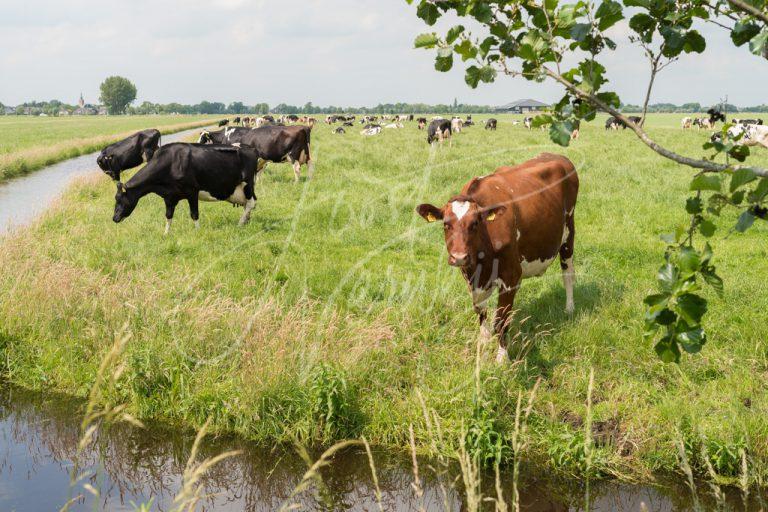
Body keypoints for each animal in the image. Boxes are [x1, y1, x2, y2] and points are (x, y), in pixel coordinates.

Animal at [111, 142, 260, 234]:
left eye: (120, 200)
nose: (114, 218)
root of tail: (251, 148)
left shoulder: (192, 191)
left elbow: (194, 214)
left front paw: (197, 232)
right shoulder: (169, 197)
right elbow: (168, 215)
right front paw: (166, 234)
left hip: (247, 184)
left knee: (251, 203)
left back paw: (240, 223)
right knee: (249, 204)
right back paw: (246, 221)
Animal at [416, 154, 580, 362]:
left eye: (475, 223)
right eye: (446, 224)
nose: (459, 257)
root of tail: (556, 156)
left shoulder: (512, 276)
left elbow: (502, 320)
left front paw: (502, 358)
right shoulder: (472, 278)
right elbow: (481, 311)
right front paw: (484, 343)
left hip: (568, 233)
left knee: (568, 274)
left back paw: (569, 308)